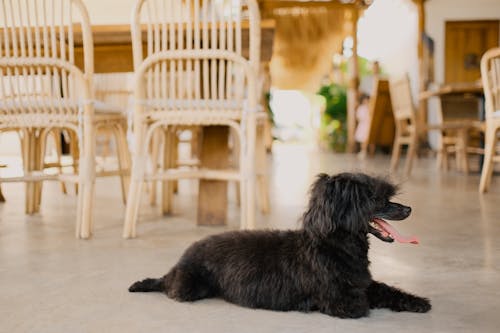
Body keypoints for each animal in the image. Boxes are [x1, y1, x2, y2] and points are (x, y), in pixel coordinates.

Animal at [129, 171, 430, 316]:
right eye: (375, 199)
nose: (409, 209)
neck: (332, 246)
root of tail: (180, 260)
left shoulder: (363, 282)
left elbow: (387, 290)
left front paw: (417, 302)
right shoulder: (341, 300)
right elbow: (362, 302)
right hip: (190, 286)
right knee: (169, 287)